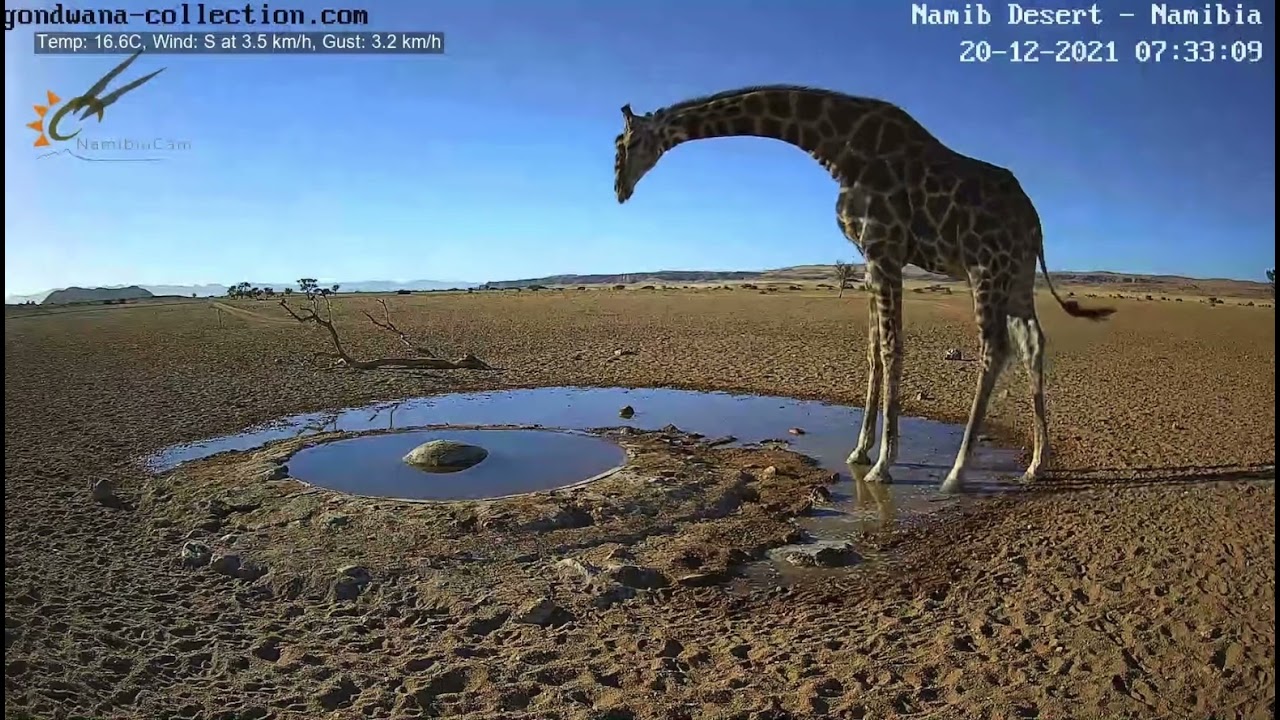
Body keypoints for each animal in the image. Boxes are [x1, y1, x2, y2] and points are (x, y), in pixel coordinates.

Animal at [614, 85, 1114, 494]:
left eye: (627, 143)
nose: (619, 190)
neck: (837, 148)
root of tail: (1035, 221)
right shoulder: (869, 258)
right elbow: (873, 350)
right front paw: (859, 451)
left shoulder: (883, 249)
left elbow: (892, 348)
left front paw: (883, 465)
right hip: (1017, 275)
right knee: (1032, 342)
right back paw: (1035, 464)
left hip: (984, 268)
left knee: (994, 348)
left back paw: (957, 473)